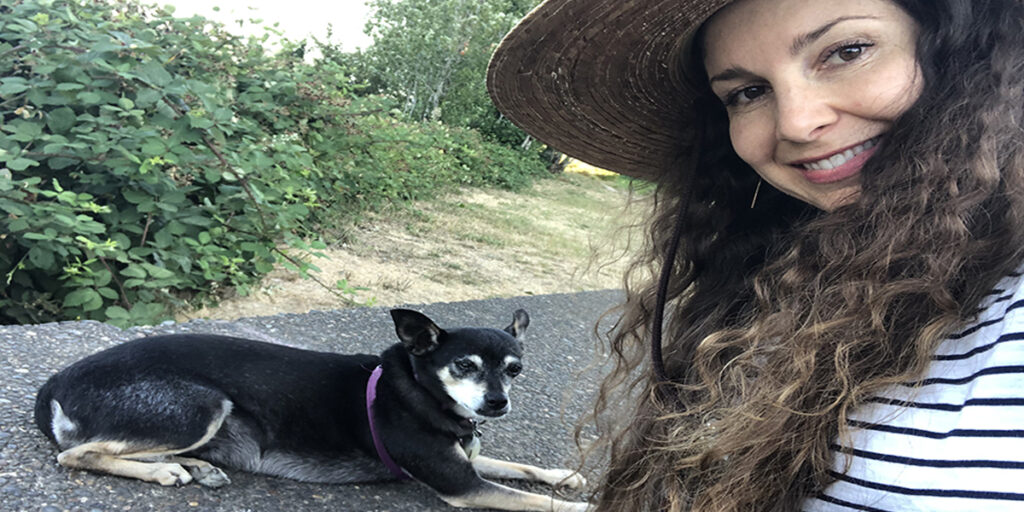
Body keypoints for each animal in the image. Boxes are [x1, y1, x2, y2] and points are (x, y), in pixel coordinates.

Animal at [36, 307, 593, 512]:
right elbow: (541, 502)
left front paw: (564, 475)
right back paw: (167, 471)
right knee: (78, 453)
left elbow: (522, 469)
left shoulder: (466, 461)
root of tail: (56, 381)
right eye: (464, 365)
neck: (419, 391)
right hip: (200, 405)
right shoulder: (461, 483)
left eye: (515, 369)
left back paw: (193, 468)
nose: (497, 402)